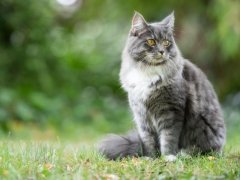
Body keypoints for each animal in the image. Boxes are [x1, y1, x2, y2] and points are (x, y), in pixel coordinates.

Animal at [97, 11, 225, 160]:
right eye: (151, 41)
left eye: (166, 42)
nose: (162, 51)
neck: (147, 71)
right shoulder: (142, 115)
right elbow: (148, 140)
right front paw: (151, 158)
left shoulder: (171, 111)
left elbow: (168, 138)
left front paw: (168, 157)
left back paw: (184, 154)